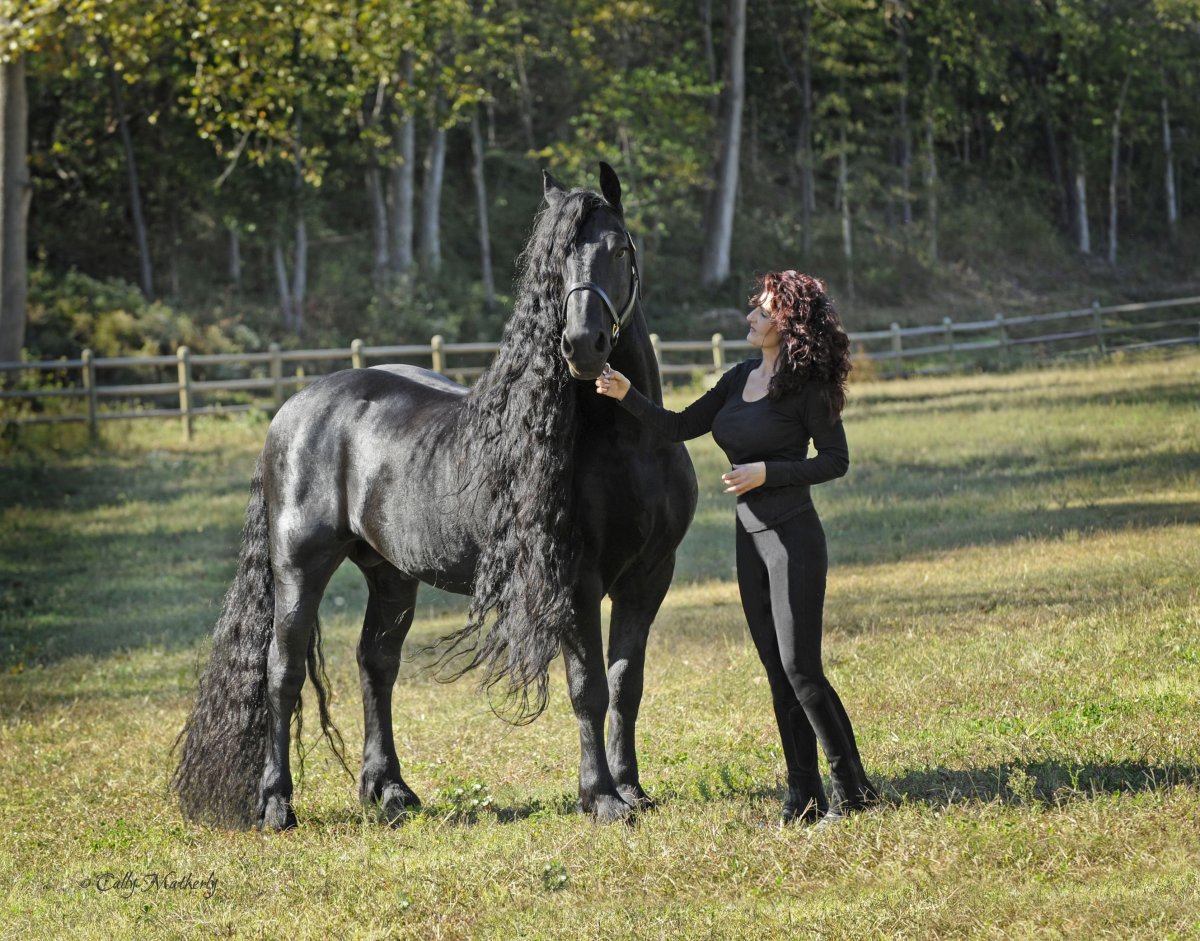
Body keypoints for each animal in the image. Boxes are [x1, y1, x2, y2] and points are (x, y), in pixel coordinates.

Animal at [173, 163, 699, 829]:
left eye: (620, 250)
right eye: (552, 261)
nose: (583, 345)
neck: (630, 445)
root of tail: (291, 410)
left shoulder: (649, 577)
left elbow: (627, 684)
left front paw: (632, 790)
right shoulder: (573, 581)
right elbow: (589, 687)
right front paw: (600, 797)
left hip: (391, 574)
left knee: (376, 665)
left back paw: (389, 790)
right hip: (298, 567)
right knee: (281, 673)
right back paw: (276, 806)